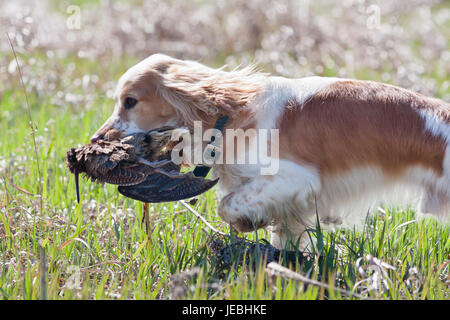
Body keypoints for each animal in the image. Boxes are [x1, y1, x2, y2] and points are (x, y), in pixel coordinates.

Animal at [92, 53, 450, 248]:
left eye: (130, 101)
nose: (97, 140)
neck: (232, 113)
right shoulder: (293, 206)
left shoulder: (296, 179)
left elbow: (227, 205)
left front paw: (248, 223)